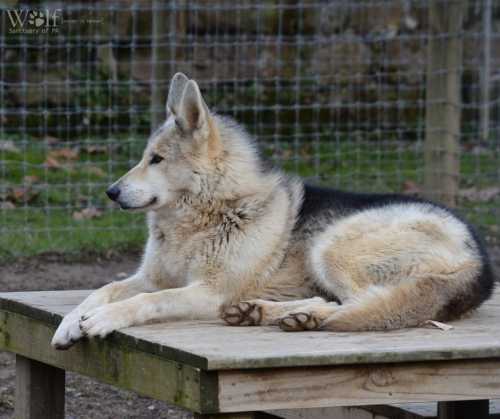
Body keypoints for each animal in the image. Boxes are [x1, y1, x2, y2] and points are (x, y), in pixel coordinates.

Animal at [51, 73, 496, 352]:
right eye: (145, 157)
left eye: (156, 159)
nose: (110, 192)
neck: (210, 213)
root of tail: (480, 258)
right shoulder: (151, 277)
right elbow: (103, 289)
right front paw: (71, 321)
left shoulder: (207, 292)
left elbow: (144, 302)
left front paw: (104, 319)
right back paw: (263, 313)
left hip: (331, 246)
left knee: (350, 304)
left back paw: (298, 316)